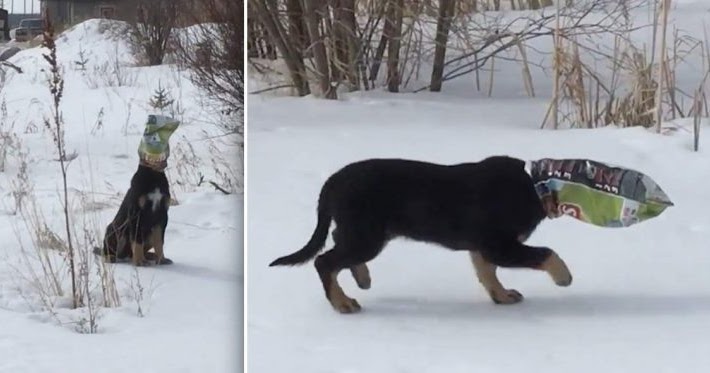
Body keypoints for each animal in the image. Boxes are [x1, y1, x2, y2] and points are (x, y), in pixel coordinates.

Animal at [270, 155, 576, 312]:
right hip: (367, 236)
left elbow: (487, 274)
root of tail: (332, 182)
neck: (534, 186)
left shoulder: (482, 247)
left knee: (337, 247)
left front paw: (502, 297)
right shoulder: (498, 246)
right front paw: (563, 278)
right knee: (324, 262)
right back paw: (342, 302)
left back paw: (362, 278)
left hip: (363, 232)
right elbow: (547, 254)